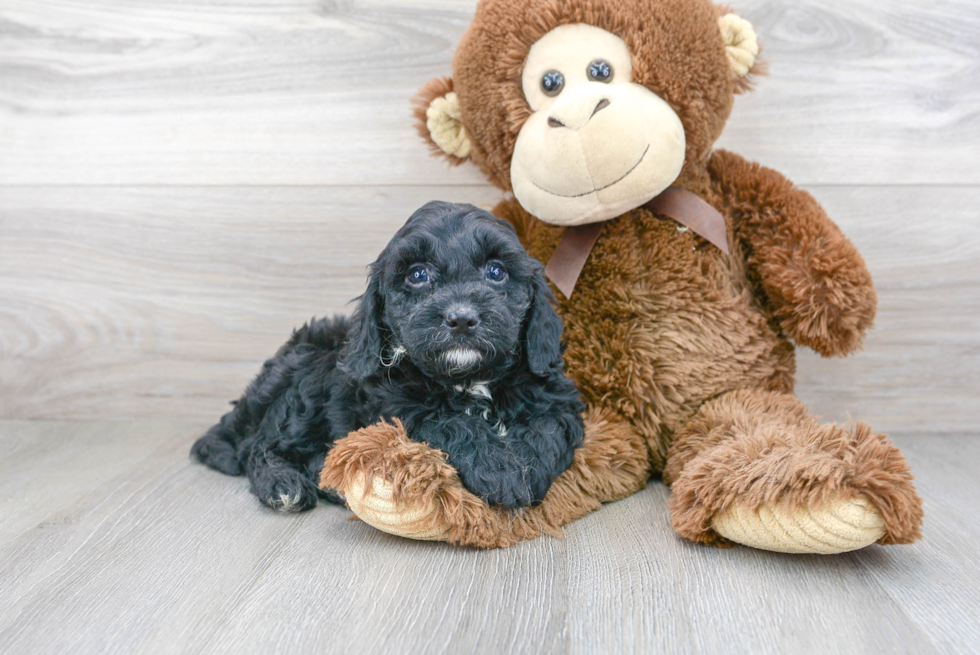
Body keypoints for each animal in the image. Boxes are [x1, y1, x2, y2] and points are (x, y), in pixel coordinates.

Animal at [195, 200, 584, 512]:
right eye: (418, 274)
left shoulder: (554, 396)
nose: (461, 318)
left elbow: (549, 428)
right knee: (260, 446)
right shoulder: (395, 410)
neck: (468, 380)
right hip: (309, 371)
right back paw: (283, 485)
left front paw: (526, 469)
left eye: (496, 271)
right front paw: (500, 470)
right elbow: (449, 423)